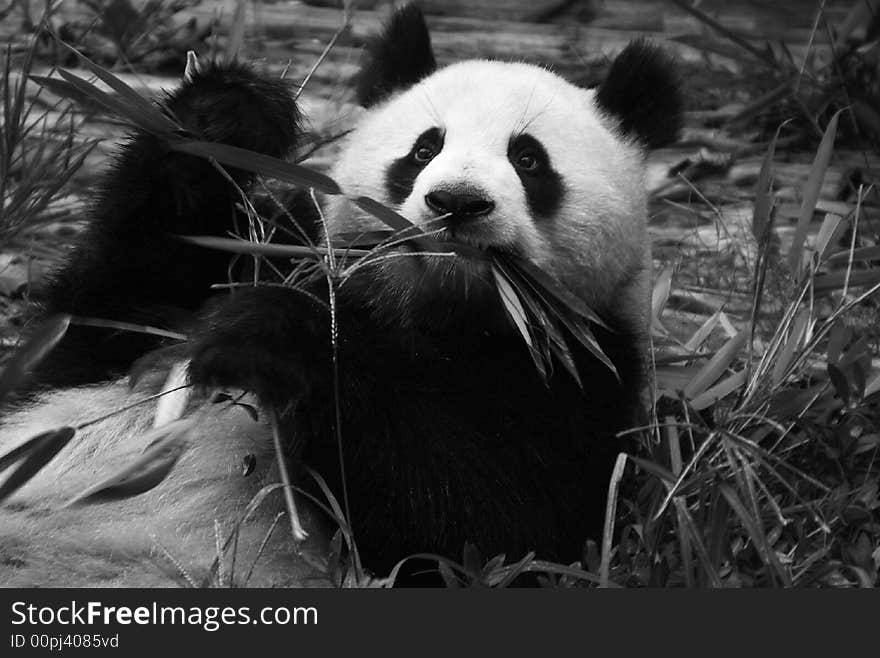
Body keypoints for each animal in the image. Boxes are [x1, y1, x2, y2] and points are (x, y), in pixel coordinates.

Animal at [0, 2, 680, 580]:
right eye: (424, 147)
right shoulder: (241, 268)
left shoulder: (582, 376)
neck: (430, 311)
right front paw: (227, 116)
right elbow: (96, 314)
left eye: (529, 160)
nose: (456, 203)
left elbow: (487, 522)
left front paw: (269, 335)